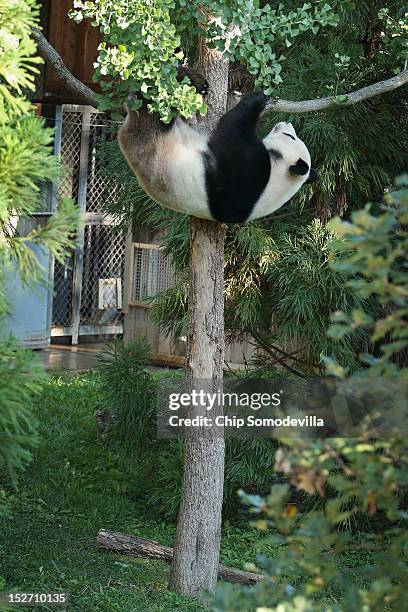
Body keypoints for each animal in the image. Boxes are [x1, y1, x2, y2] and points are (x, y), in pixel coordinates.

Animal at [117, 69, 316, 222]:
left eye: (290, 136)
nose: (286, 124)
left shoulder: (248, 172)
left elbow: (232, 130)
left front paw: (257, 98)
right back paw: (196, 80)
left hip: (151, 139)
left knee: (151, 106)